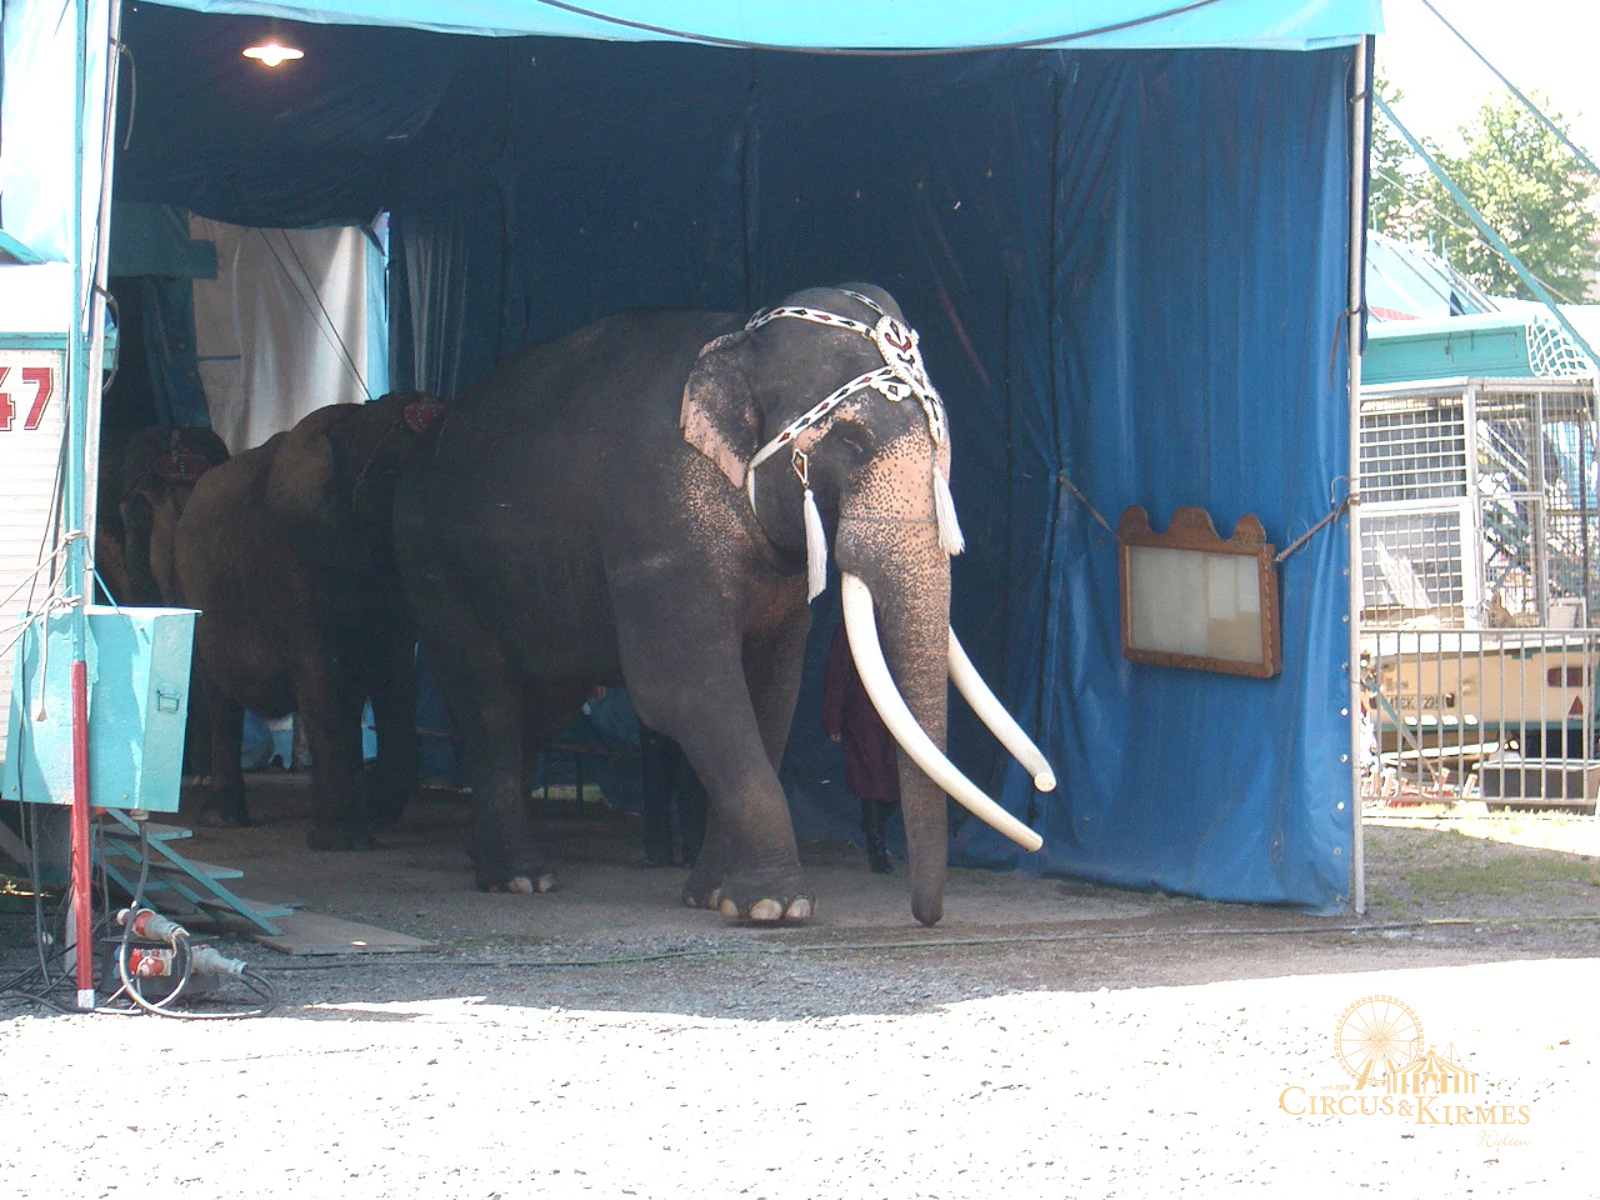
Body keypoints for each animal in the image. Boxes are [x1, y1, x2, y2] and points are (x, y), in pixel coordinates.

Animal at [174, 391, 443, 847]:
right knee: (222, 699)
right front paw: (346, 841)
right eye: (393, 474)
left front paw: (372, 815)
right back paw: (223, 818)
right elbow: (322, 676)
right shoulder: (294, 565)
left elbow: (395, 677)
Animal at [393, 284, 1053, 925]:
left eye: (943, 437)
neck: (740, 335)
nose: (927, 917)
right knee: (490, 703)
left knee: (534, 711)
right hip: (436, 571)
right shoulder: (656, 522)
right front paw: (776, 909)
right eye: (850, 438)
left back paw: (499, 863)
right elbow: (687, 689)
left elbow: (772, 693)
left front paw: (714, 896)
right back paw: (521, 879)